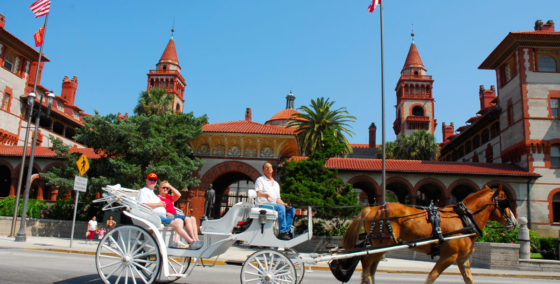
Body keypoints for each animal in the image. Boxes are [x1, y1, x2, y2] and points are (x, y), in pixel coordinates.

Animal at [340, 185, 520, 282]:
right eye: (505, 203)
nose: (515, 222)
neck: (464, 219)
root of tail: (373, 208)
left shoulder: (462, 259)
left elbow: (469, 279)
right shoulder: (449, 256)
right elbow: (431, 277)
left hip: (380, 245)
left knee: (369, 267)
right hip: (382, 243)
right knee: (366, 263)